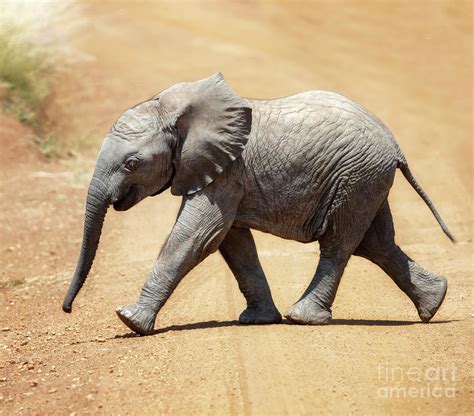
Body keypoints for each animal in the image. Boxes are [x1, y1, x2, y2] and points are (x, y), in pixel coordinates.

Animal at [61, 73, 454, 336]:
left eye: (131, 164)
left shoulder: (226, 172)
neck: (177, 110)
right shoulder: (225, 176)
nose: (67, 309)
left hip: (356, 177)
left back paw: (302, 318)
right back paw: (435, 302)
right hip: (366, 180)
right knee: (375, 243)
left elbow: (197, 237)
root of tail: (396, 144)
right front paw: (259, 320)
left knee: (340, 243)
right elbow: (233, 243)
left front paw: (129, 319)